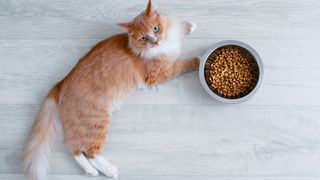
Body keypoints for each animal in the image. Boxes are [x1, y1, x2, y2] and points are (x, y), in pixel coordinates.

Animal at [20, 0, 198, 179]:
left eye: (156, 28)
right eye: (143, 38)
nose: (155, 42)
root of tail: (61, 82)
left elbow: (178, 27)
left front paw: (189, 25)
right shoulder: (160, 72)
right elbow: (183, 64)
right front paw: (198, 60)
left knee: (74, 148)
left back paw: (91, 171)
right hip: (95, 122)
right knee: (87, 151)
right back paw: (109, 170)